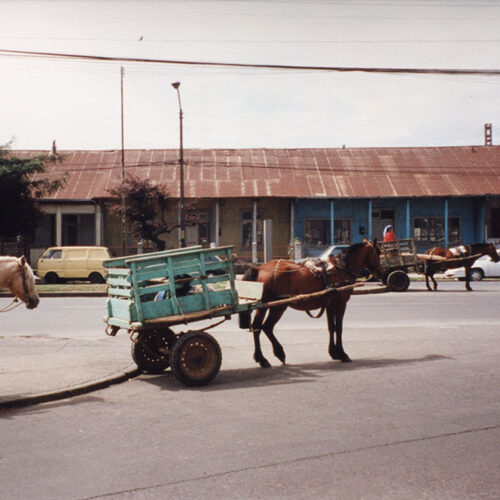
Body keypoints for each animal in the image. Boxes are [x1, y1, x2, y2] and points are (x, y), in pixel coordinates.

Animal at [241, 241, 378, 368]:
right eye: (378, 252)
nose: (381, 273)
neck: (342, 269)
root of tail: (260, 268)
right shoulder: (341, 304)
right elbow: (339, 328)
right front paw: (342, 354)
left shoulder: (330, 305)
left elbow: (331, 327)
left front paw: (334, 353)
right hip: (276, 307)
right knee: (262, 327)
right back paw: (268, 357)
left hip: (270, 306)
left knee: (262, 327)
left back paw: (269, 356)